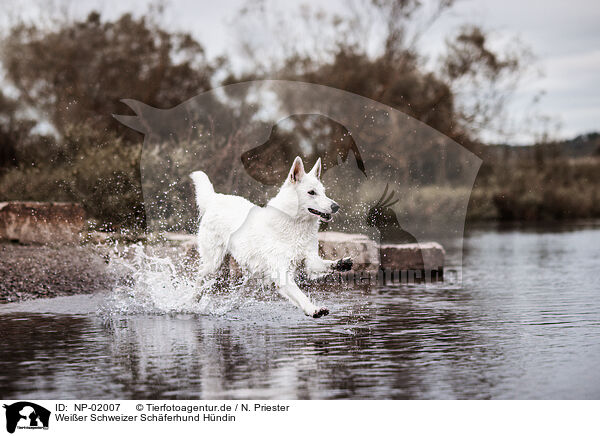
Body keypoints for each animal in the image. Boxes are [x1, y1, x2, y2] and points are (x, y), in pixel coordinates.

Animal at [191, 156, 352, 316]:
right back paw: (192, 301)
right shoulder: (282, 272)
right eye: (311, 192)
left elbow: (324, 264)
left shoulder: (310, 260)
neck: (295, 224)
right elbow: (301, 296)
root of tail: (214, 198)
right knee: (199, 277)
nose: (336, 206)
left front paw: (341, 263)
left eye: (323, 192)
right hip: (213, 264)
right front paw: (314, 309)